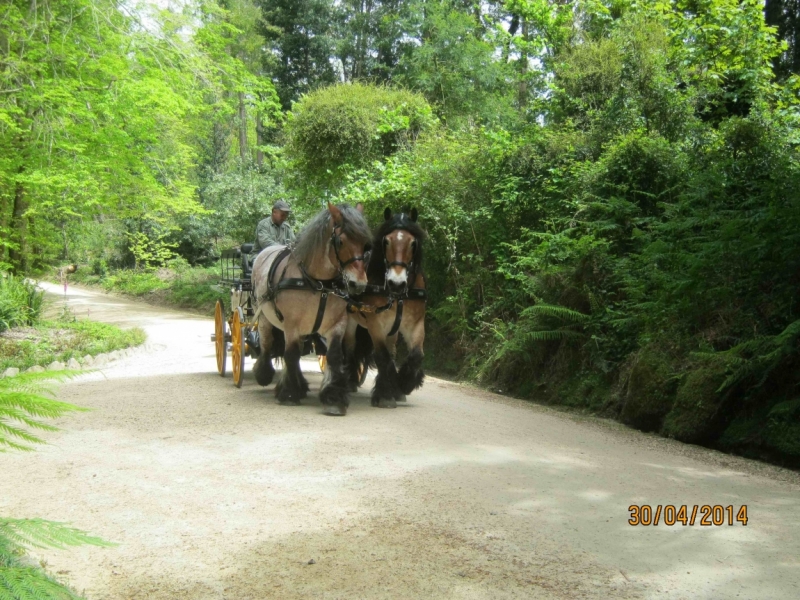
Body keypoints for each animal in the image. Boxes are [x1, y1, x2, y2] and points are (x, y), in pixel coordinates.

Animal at [252, 204, 374, 414]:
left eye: (365, 244)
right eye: (340, 241)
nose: (358, 284)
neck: (319, 284)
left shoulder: (337, 324)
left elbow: (333, 355)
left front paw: (333, 398)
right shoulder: (291, 325)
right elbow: (290, 354)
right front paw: (289, 394)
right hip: (265, 317)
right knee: (267, 344)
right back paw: (265, 375)